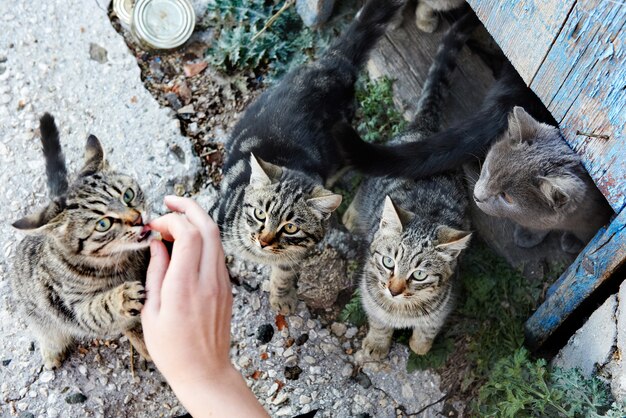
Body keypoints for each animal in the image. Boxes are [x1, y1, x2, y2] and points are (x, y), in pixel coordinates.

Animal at [10, 114, 151, 370]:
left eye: (128, 195)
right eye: (103, 224)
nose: (138, 219)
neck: (121, 261)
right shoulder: (71, 307)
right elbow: (97, 309)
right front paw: (122, 297)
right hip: (38, 314)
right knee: (48, 332)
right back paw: (51, 352)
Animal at [214, 0, 402, 314]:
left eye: (290, 227)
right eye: (260, 214)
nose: (263, 241)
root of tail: (333, 64)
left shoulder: (294, 255)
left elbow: (284, 271)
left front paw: (282, 297)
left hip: (340, 147)